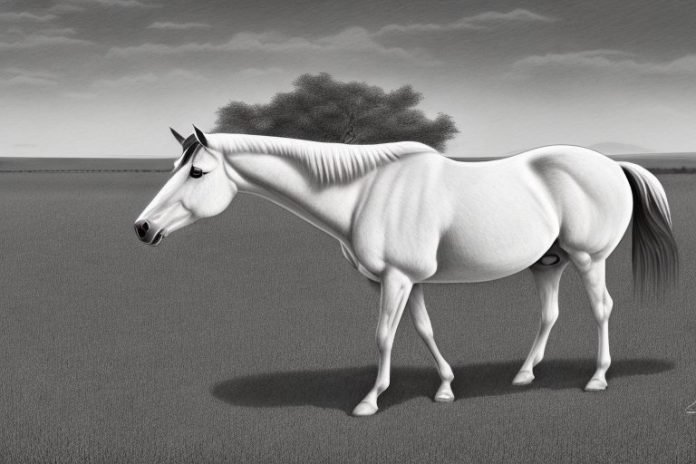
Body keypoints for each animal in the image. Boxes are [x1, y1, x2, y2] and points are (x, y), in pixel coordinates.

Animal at [134, 126, 678, 416]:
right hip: (550, 263)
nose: (142, 228)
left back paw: (598, 378)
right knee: (549, 314)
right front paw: (445, 388)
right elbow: (422, 329)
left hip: (589, 259)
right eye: (175, 168)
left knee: (602, 308)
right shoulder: (406, 280)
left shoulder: (396, 280)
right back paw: (524, 374)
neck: (365, 192)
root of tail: (612, 165)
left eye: (197, 172)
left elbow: (383, 336)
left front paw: (370, 401)